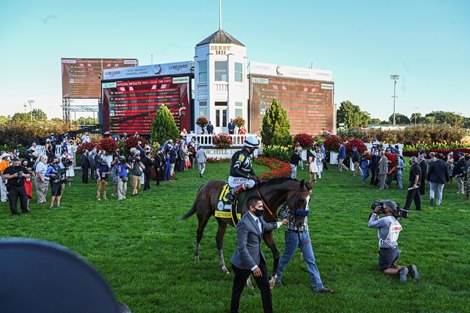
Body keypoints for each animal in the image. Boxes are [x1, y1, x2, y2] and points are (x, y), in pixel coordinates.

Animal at [180, 177, 312, 276]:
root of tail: (205, 185)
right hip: (203, 216)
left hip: (221, 220)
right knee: (199, 234)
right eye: (301, 199)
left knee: (218, 239)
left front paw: (273, 279)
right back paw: (197, 258)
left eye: (309, 200)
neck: (264, 200)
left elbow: (275, 253)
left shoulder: (266, 231)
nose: (300, 223)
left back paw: (223, 267)